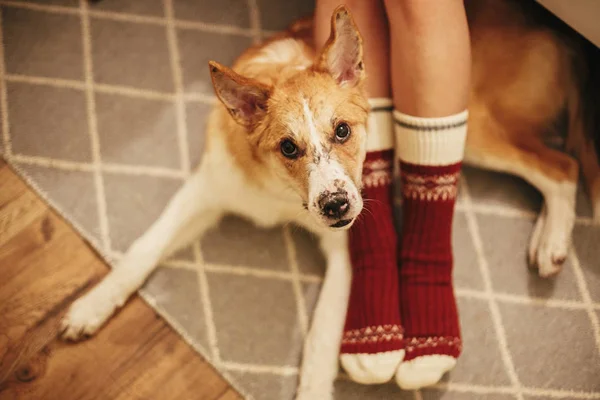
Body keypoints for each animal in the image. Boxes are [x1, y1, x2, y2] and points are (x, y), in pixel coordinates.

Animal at [58, 0, 596, 396]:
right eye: (287, 147)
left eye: (342, 131)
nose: (337, 206)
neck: (280, 192)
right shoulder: (205, 188)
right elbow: (143, 248)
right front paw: (91, 307)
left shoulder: (348, 247)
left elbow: (321, 336)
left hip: (474, 126)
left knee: (562, 167)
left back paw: (550, 242)